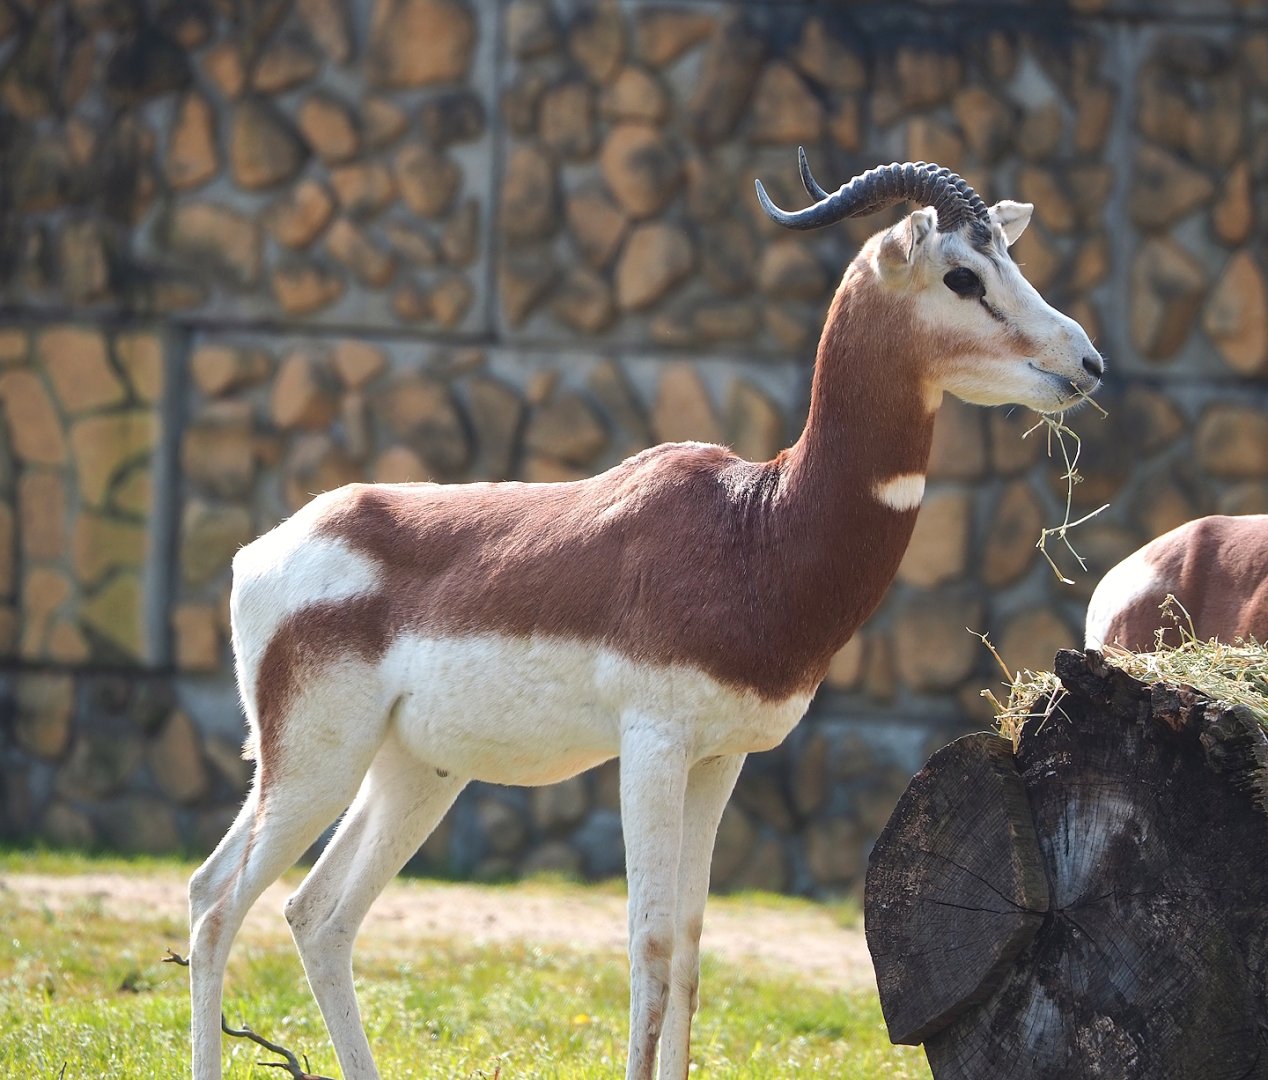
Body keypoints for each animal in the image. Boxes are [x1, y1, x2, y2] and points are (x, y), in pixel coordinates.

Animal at [188, 156, 1103, 1080]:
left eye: (1009, 260)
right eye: (964, 276)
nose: (1089, 362)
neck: (757, 525)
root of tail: (264, 551)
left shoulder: (719, 759)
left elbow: (694, 948)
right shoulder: (653, 747)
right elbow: (650, 946)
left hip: (410, 772)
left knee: (312, 913)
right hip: (316, 765)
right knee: (218, 904)